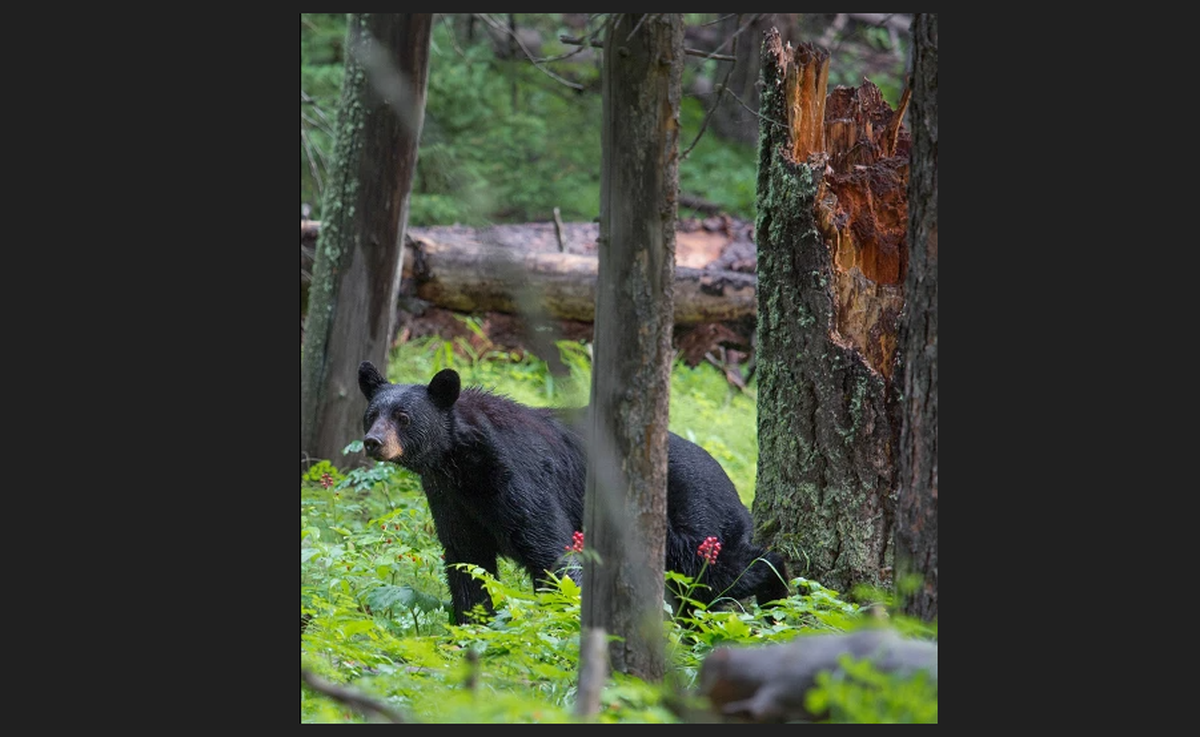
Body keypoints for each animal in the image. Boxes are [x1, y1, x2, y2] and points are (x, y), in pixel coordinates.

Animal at [358, 360, 789, 625]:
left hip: (694, 520)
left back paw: (779, 596)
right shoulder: (451, 499)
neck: (463, 460)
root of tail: (731, 484)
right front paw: (471, 626)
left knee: (721, 573)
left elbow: (553, 552)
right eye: (372, 414)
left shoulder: (521, 479)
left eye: (403, 417)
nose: (372, 442)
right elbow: (467, 563)